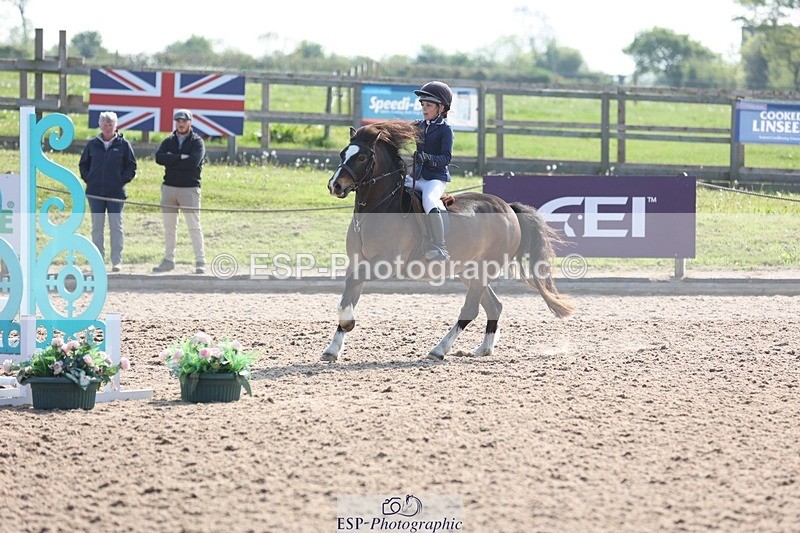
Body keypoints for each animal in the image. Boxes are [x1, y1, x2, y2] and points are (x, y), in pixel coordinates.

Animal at [323, 120, 575, 361]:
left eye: (362, 157)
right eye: (342, 153)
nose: (334, 186)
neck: (378, 210)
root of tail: (508, 208)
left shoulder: (385, 263)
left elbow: (351, 288)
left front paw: (347, 322)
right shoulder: (358, 262)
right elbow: (350, 291)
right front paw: (333, 348)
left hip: (485, 268)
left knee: (471, 309)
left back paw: (439, 349)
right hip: (469, 270)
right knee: (494, 306)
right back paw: (483, 349)